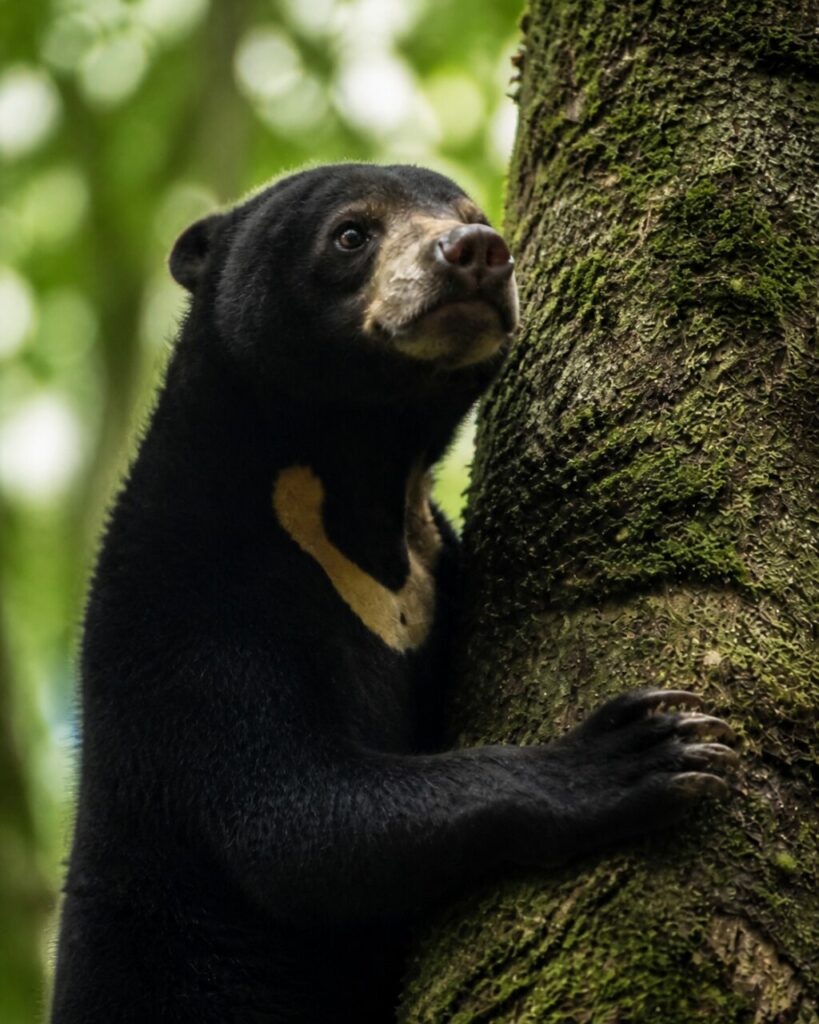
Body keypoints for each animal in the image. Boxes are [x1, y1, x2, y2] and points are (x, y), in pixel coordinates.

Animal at [50, 163, 738, 1023]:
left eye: (476, 214)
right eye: (352, 233)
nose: (476, 251)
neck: (356, 476)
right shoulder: (186, 606)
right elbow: (297, 821)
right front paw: (644, 749)